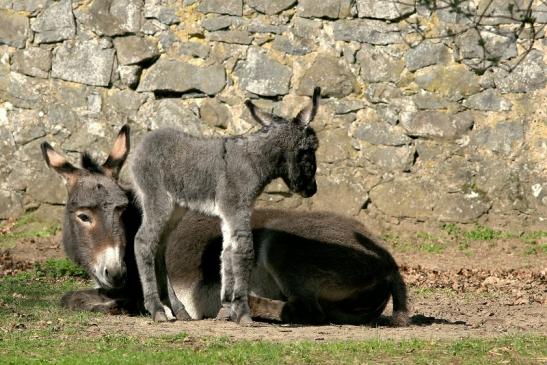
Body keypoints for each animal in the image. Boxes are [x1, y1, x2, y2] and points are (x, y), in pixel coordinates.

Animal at [132, 89, 322, 324]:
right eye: (309, 151)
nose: (312, 190)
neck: (253, 161)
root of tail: (143, 142)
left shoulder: (229, 213)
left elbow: (228, 253)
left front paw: (229, 304)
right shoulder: (237, 207)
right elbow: (244, 251)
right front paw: (242, 311)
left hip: (175, 209)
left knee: (159, 247)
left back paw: (179, 310)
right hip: (157, 199)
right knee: (143, 242)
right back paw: (157, 309)